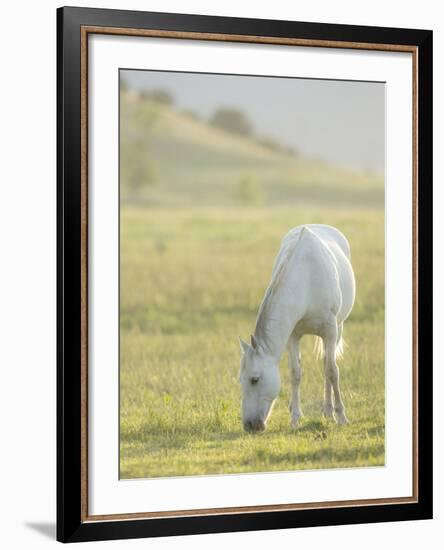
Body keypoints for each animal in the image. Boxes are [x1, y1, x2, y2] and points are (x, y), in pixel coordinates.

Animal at [238, 226, 356, 434]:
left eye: (254, 379)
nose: (249, 426)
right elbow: (295, 374)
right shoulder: (292, 336)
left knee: (327, 364)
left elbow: (332, 371)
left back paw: (329, 412)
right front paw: (294, 419)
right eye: (240, 380)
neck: (306, 279)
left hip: (338, 329)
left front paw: (341, 416)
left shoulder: (330, 330)